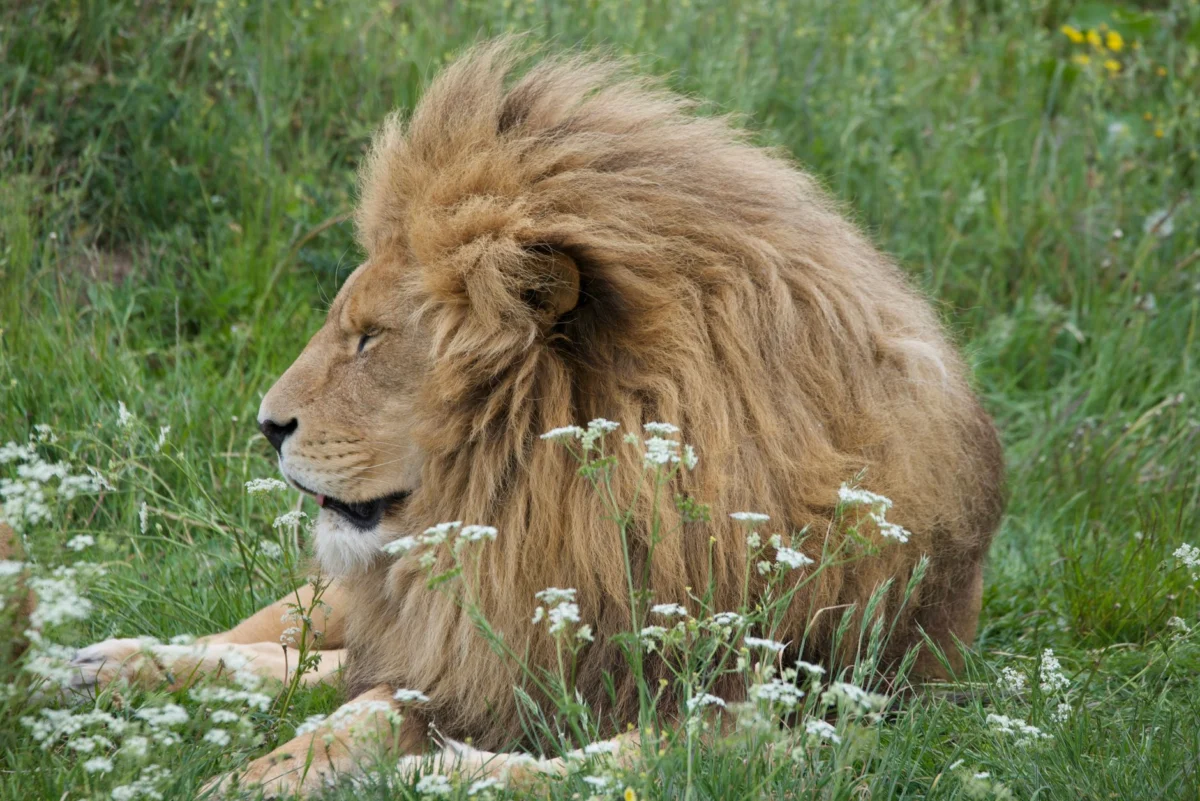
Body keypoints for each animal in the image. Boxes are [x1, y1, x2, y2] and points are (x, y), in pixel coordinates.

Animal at [69, 40, 1004, 796]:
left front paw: (438, 772)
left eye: (370, 339)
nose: (267, 425)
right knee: (286, 638)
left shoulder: (817, 714)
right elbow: (355, 707)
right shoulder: (475, 643)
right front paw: (254, 773)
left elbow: (613, 761)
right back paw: (98, 665)